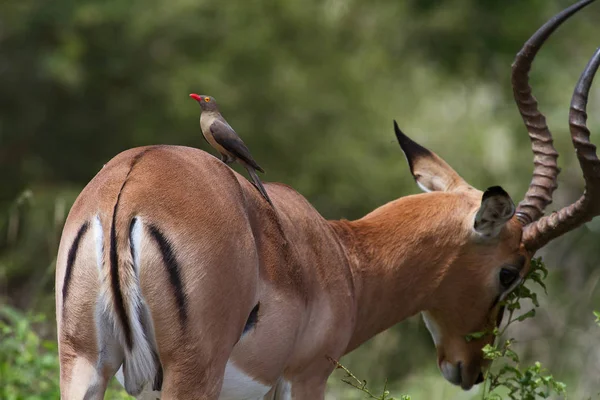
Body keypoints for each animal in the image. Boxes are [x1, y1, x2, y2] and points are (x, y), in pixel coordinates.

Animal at [54, 1, 596, 398]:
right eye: (509, 272)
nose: (470, 368)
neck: (344, 257)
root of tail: (130, 186)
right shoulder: (307, 377)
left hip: (82, 363)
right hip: (189, 375)